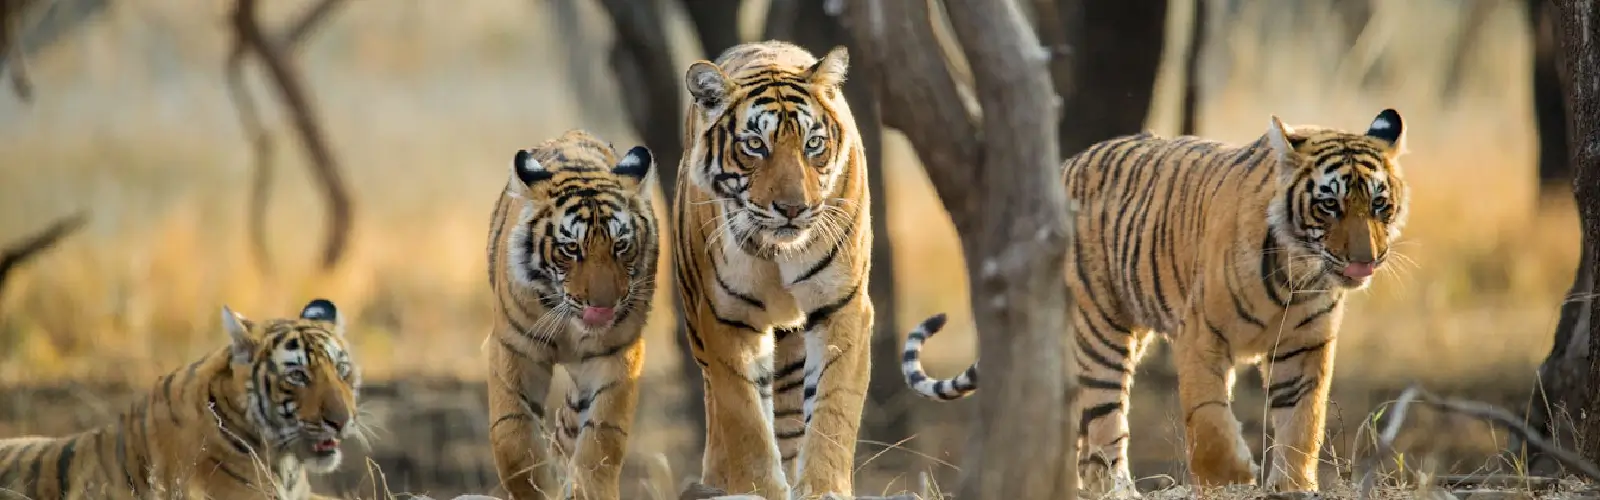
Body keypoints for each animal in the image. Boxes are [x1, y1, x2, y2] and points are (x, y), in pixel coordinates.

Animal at [476, 129, 659, 500]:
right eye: (571, 248)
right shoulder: (514, 347)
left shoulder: (617, 353)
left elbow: (602, 436)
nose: (603, 305)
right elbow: (513, 437)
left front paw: (588, 489)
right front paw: (539, 489)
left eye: (620, 245)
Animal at [672, 40, 883, 500]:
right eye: (755, 145)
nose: (792, 208)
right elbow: (744, 416)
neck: (776, 252)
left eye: (813, 143)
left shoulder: (842, 306)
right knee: (718, 405)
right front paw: (758, 488)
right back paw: (714, 481)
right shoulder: (726, 317)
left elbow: (833, 406)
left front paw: (823, 487)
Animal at [902, 108, 1414, 496]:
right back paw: (1118, 490)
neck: (1298, 273)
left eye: (1379, 204)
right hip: (1100, 334)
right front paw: (1232, 478)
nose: (1365, 260)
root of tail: (1064, 167)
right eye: (1329, 205)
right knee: (1104, 431)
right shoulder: (1201, 334)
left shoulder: (1304, 346)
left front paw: (1291, 485)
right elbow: (1208, 418)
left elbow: (1302, 422)